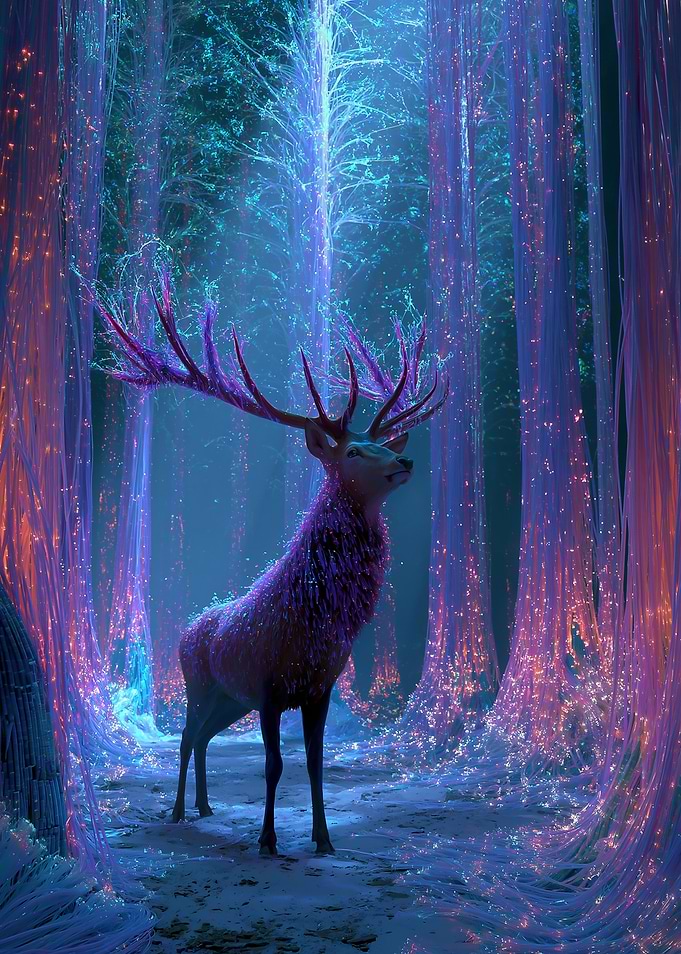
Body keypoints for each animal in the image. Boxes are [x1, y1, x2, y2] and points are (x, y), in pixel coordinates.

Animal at [100, 275, 447, 855]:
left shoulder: (319, 686)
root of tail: (189, 626)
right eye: (354, 452)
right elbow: (273, 765)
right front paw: (267, 840)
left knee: (205, 738)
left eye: (379, 442)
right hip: (197, 683)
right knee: (187, 736)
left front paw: (324, 841)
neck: (313, 619)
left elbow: (313, 765)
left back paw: (205, 805)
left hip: (227, 698)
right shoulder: (266, 685)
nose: (405, 459)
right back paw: (178, 810)